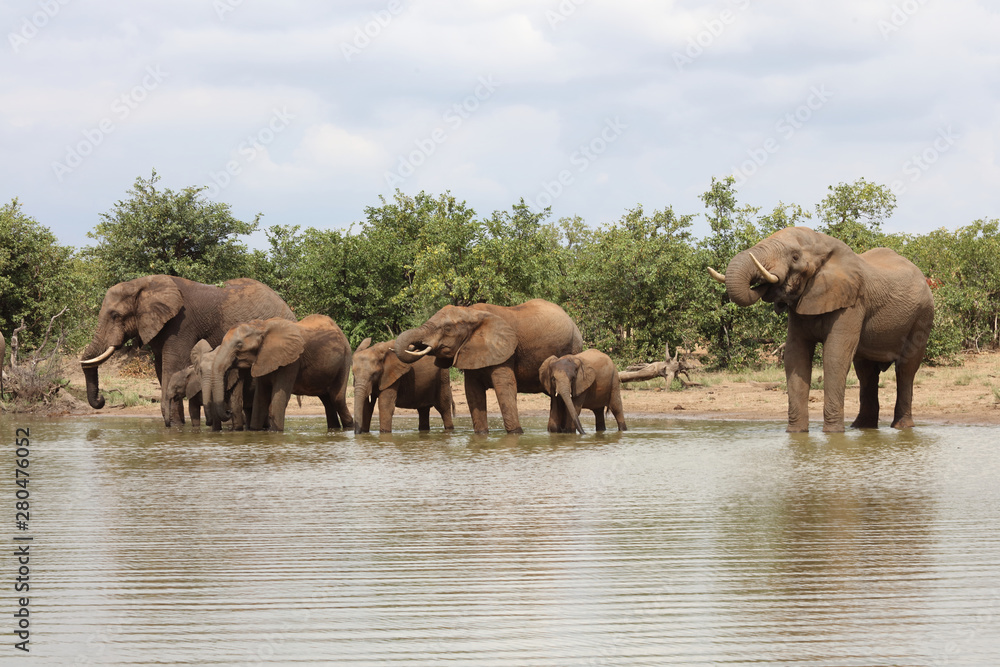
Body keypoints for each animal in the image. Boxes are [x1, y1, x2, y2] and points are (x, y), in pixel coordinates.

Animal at [80, 276, 294, 426]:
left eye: (116, 315)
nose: (101, 399)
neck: (142, 283)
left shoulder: (181, 325)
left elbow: (172, 366)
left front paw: (175, 426)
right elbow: (161, 368)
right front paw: (177, 425)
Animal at [209, 314, 354, 432]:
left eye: (239, 345)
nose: (228, 411)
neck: (261, 327)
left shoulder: (291, 361)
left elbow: (278, 400)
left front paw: (275, 432)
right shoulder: (263, 359)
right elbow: (260, 401)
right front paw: (255, 431)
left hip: (345, 360)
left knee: (337, 398)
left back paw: (349, 427)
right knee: (327, 400)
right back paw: (334, 429)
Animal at [394, 299, 583, 434]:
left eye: (447, 328)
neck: (472, 313)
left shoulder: (505, 350)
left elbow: (505, 387)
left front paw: (516, 433)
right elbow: (472, 392)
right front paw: (481, 435)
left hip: (573, 347)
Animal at [708, 226, 934, 433]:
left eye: (795, 257)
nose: (765, 283)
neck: (824, 245)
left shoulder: (852, 304)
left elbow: (835, 355)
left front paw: (832, 434)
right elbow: (795, 355)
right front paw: (796, 433)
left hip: (922, 317)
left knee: (905, 369)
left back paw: (901, 427)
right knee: (866, 372)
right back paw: (861, 428)